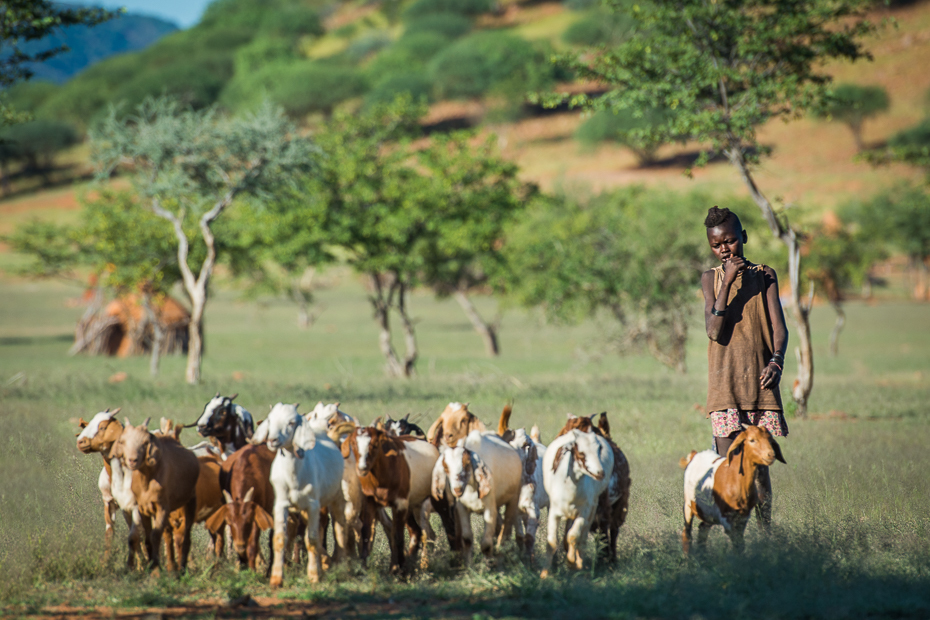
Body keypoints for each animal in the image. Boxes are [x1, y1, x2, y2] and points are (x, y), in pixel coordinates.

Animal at [250, 402, 344, 588]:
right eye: (270, 420)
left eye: (292, 422)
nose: (272, 440)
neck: (294, 476)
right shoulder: (281, 504)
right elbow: (279, 538)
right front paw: (276, 579)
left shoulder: (313, 505)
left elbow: (312, 539)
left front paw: (313, 576)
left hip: (333, 498)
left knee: (334, 529)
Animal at [430, 428, 520, 564]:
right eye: (445, 467)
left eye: (467, 463)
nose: (457, 489)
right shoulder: (461, 509)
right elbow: (467, 538)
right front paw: (468, 564)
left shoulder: (489, 510)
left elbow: (486, 544)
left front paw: (488, 563)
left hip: (513, 500)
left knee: (506, 528)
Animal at [540, 426, 612, 576]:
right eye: (581, 452)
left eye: (599, 449)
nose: (600, 473)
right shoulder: (554, 513)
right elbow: (552, 542)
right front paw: (544, 574)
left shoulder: (584, 512)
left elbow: (573, 536)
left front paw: (572, 563)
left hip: (592, 509)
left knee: (582, 537)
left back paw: (580, 563)